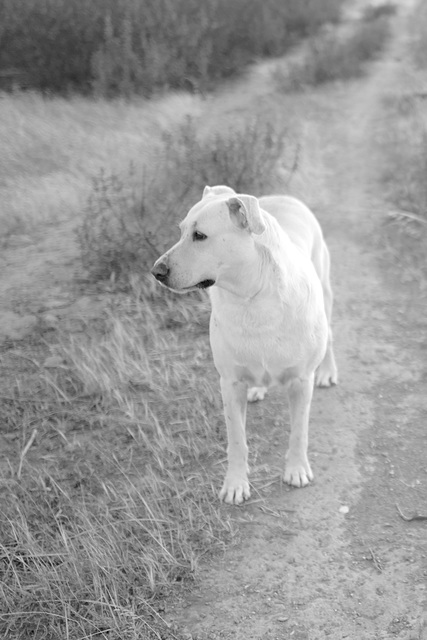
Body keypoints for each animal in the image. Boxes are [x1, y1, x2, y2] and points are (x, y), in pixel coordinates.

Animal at [150, 185, 338, 504]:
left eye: (199, 235)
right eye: (181, 231)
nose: (156, 271)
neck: (252, 296)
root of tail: (283, 196)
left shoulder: (301, 381)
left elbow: (299, 431)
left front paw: (297, 469)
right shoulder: (230, 383)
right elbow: (236, 439)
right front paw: (236, 483)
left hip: (325, 293)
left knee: (332, 335)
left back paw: (327, 370)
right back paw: (258, 388)